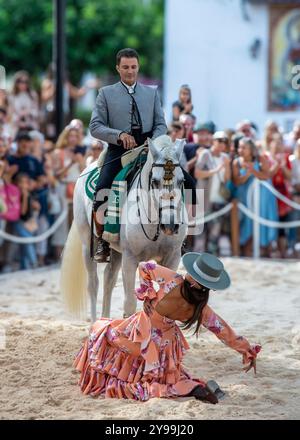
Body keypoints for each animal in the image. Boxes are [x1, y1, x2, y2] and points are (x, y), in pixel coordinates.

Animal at [60, 136, 188, 322]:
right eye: (155, 181)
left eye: (181, 181)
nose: (170, 225)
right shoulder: (130, 258)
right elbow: (129, 304)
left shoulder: (172, 257)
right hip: (87, 245)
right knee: (93, 284)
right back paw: (94, 323)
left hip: (116, 252)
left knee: (109, 279)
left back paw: (105, 321)